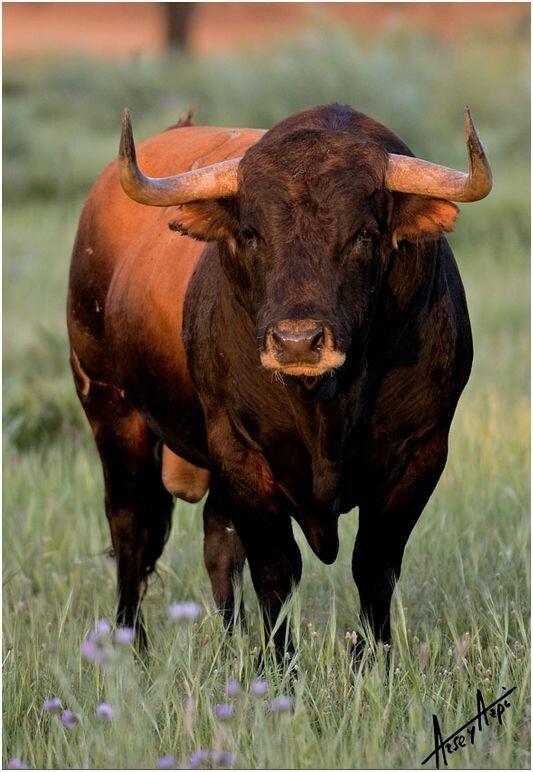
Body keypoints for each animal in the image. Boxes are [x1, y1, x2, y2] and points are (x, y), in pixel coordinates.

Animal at [67, 103, 491, 659]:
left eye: (364, 234)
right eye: (251, 233)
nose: (297, 341)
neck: (327, 403)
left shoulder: (422, 451)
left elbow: (375, 565)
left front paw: (374, 661)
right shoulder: (239, 449)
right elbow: (276, 568)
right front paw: (279, 665)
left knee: (217, 542)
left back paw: (229, 642)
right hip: (112, 410)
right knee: (131, 530)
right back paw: (130, 648)